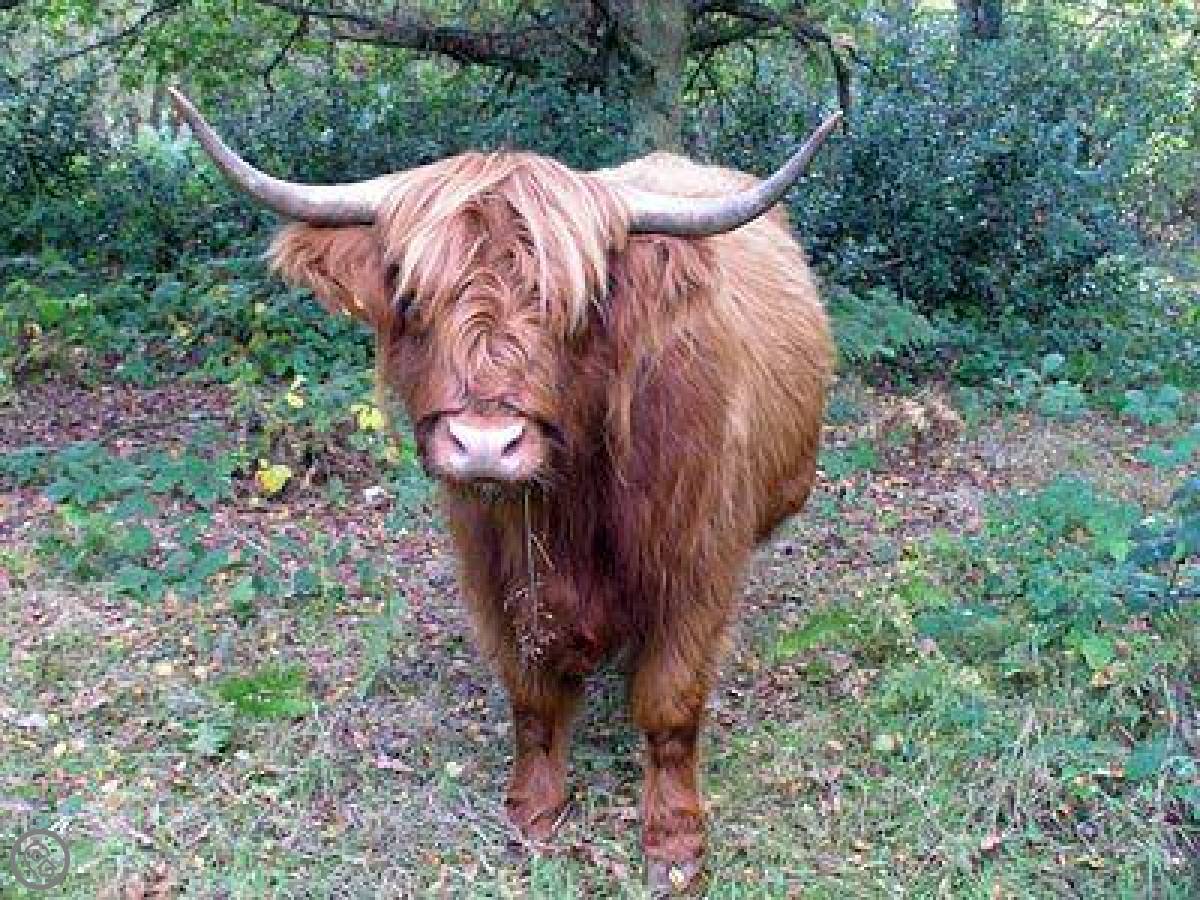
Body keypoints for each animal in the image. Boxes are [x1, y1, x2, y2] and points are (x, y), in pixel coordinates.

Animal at [169, 89, 838, 894]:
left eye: (581, 302)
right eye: (409, 293)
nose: (486, 443)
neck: (573, 506)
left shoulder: (696, 564)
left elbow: (671, 703)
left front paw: (675, 840)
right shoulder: (493, 569)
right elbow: (531, 697)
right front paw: (534, 810)